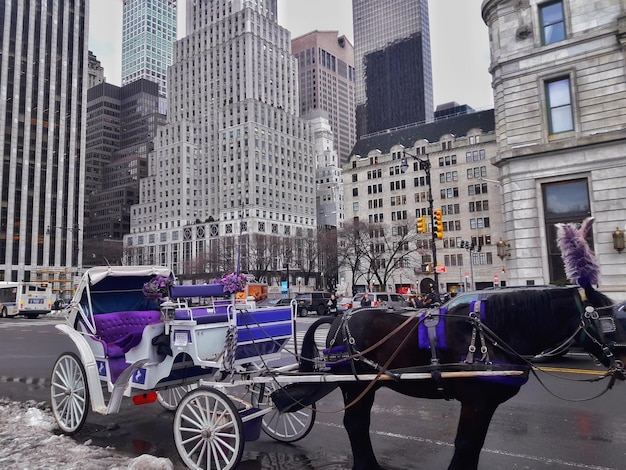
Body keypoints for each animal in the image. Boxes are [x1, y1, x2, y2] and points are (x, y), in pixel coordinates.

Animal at [292, 284, 624, 468]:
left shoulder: (485, 404)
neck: (492, 335)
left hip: (367, 386)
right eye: (607, 321)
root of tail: (339, 317)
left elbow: (473, 445)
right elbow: (466, 443)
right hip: (354, 385)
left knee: (359, 424)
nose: (622, 363)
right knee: (355, 424)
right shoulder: (477, 401)